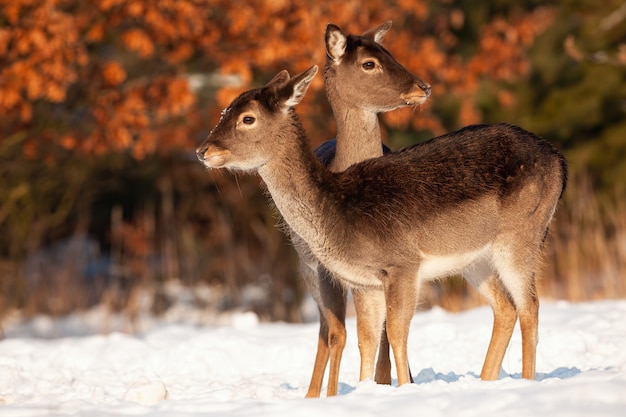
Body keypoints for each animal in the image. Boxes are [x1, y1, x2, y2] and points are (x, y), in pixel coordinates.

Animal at [197, 65, 568, 386]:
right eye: (223, 112)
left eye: (248, 118)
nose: (203, 150)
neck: (338, 213)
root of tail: (558, 160)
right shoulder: (365, 282)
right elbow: (367, 339)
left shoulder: (403, 263)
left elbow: (398, 334)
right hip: (475, 259)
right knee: (505, 308)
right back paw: (485, 380)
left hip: (521, 233)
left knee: (530, 306)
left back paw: (526, 381)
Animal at [294, 22, 432, 396]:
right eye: (369, 63)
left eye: (390, 52)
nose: (423, 86)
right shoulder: (327, 268)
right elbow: (341, 332)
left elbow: (381, 329)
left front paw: (388, 381)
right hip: (306, 265)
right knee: (325, 329)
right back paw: (313, 393)